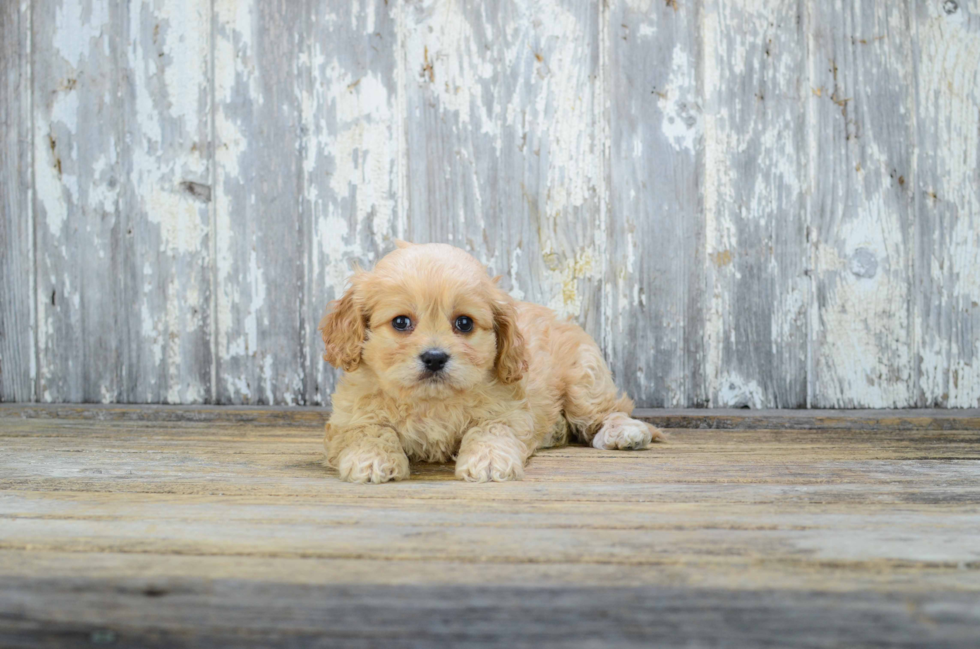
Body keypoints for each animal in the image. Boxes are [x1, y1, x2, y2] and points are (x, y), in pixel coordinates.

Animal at [322, 242, 668, 480]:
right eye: (401, 322)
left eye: (464, 323)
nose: (434, 358)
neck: (432, 400)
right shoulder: (350, 417)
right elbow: (369, 431)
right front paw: (372, 460)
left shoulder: (508, 410)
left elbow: (489, 430)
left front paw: (487, 461)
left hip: (584, 381)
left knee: (609, 411)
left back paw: (625, 432)